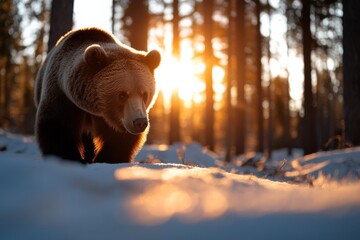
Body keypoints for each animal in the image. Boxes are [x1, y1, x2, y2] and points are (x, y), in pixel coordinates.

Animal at [34, 27, 161, 163]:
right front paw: (71, 157)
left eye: (145, 94)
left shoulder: (114, 118)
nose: (140, 122)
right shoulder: (62, 96)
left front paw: (107, 158)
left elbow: (119, 139)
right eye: (122, 95)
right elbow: (57, 128)